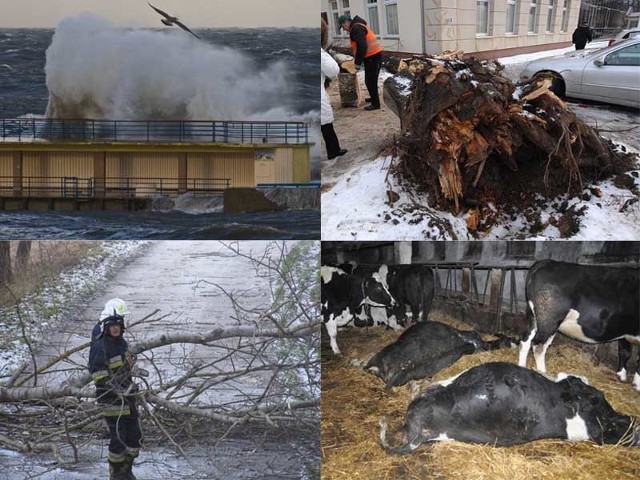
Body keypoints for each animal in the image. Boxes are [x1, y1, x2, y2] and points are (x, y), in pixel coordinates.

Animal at [520, 260, 640, 392]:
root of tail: (545, 262)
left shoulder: (625, 331)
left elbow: (625, 352)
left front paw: (621, 376)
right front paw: (637, 385)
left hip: (534, 317)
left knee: (526, 340)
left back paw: (521, 366)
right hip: (549, 320)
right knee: (538, 345)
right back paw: (542, 371)